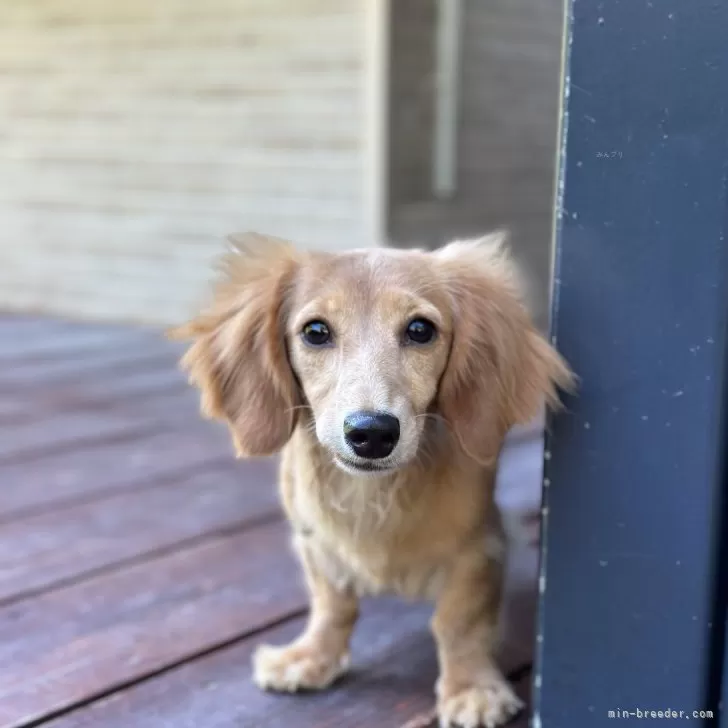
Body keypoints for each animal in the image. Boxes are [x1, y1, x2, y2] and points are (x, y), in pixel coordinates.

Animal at [172, 233, 576, 728]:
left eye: (420, 330)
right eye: (315, 332)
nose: (372, 433)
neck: (371, 496)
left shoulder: (480, 549)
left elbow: (458, 622)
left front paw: (471, 687)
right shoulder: (315, 544)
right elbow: (331, 605)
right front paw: (312, 657)